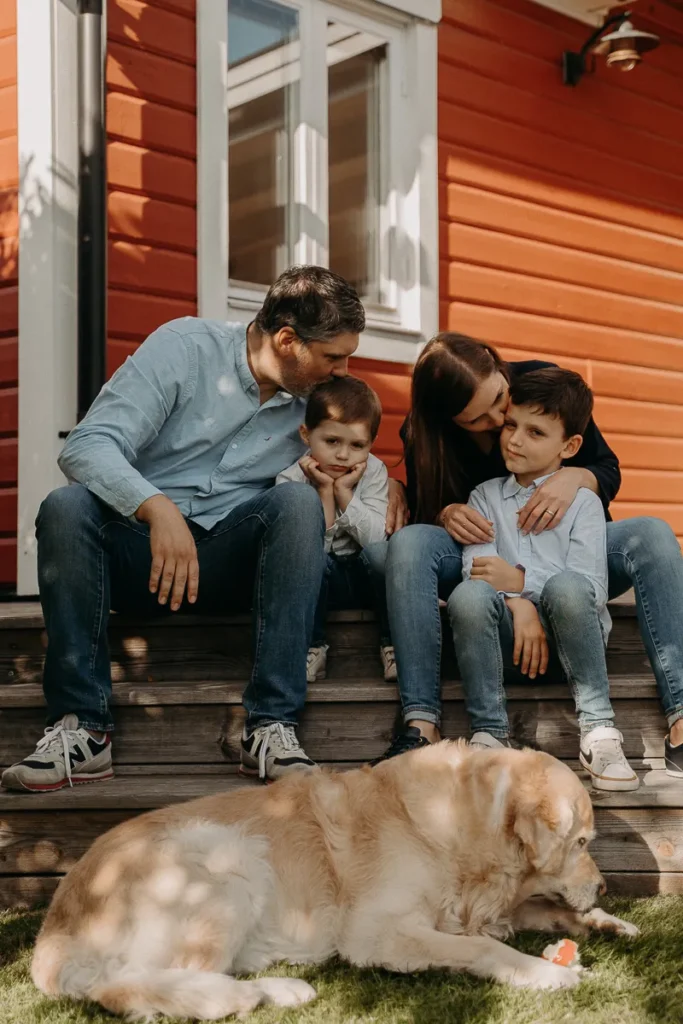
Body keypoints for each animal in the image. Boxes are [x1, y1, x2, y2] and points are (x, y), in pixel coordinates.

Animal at [31, 741, 643, 1019]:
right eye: (582, 842)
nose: (605, 886)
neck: (458, 820)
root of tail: (54, 928)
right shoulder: (376, 932)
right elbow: (482, 949)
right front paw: (548, 972)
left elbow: (531, 910)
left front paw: (605, 922)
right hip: (224, 858)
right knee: (130, 985)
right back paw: (261, 993)